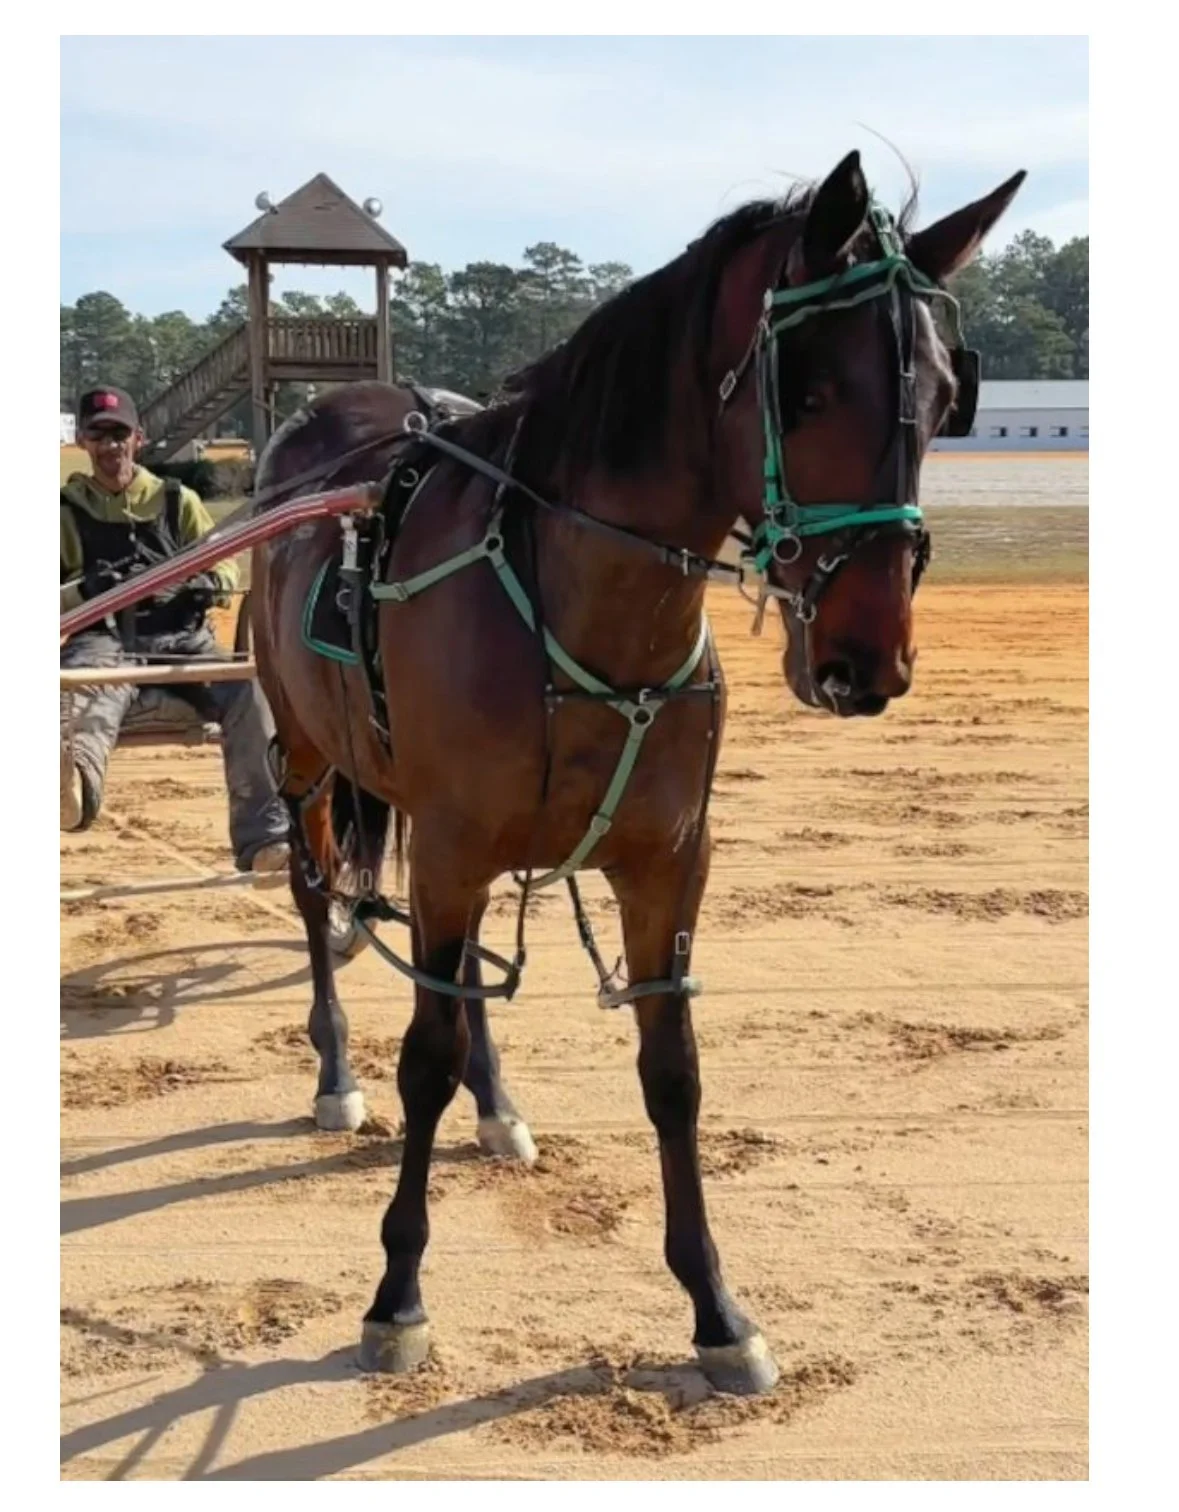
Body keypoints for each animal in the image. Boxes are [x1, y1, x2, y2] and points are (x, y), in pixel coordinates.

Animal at [250, 150, 1025, 1395]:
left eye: (949, 395)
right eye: (808, 390)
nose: (869, 656)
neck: (576, 599)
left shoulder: (667, 863)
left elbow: (672, 1072)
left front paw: (715, 1307)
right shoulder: (453, 848)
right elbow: (423, 1056)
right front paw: (398, 1292)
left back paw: (498, 1105)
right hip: (313, 757)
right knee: (320, 901)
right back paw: (333, 1074)